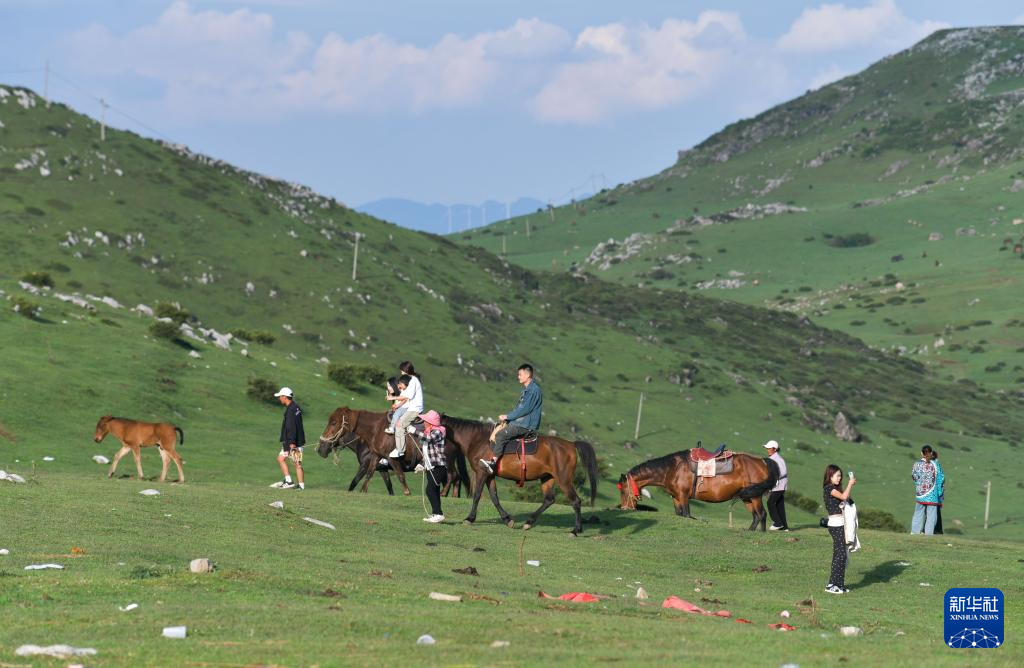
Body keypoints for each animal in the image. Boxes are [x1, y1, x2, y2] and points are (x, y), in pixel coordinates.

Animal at [440, 413, 598, 536]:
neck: (478, 440)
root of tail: (571, 444)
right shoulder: (489, 475)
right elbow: (494, 497)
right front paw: (507, 519)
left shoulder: (481, 473)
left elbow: (477, 495)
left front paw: (470, 518)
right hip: (547, 478)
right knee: (549, 499)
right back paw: (529, 522)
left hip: (563, 479)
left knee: (575, 501)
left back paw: (575, 530)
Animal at [614, 442, 774, 532]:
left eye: (623, 491)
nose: (625, 508)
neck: (672, 468)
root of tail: (763, 461)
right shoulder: (676, 498)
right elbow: (680, 514)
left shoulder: (684, 496)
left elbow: (686, 514)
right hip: (748, 497)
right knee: (755, 516)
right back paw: (750, 531)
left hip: (755, 496)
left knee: (762, 514)